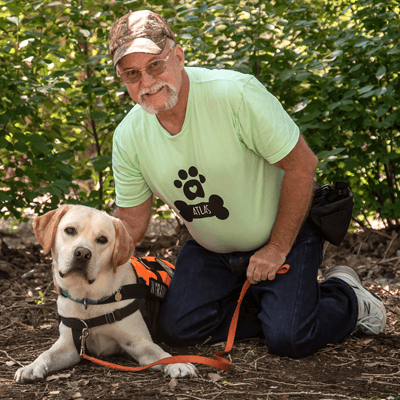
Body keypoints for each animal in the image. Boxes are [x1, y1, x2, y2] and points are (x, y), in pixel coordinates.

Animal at [15, 205, 197, 382]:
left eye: (102, 239)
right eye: (70, 230)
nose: (82, 253)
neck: (88, 298)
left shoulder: (139, 343)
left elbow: (162, 355)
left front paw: (178, 363)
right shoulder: (69, 346)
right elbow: (46, 354)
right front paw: (31, 367)